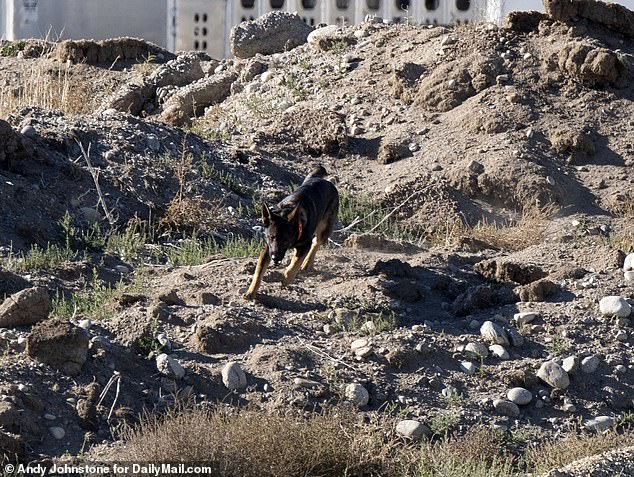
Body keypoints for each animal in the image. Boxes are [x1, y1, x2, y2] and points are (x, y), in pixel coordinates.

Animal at [243, 166, 338, 298]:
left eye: (285, 240)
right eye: (271, 237)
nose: (275, 258)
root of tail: (324, 181)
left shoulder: (304, 245)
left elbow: (295, 263)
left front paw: (287, 278)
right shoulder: (268, 249)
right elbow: (258, 272)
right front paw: (251, 291)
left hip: (325, 227)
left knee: (316, 243)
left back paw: (307, 263)